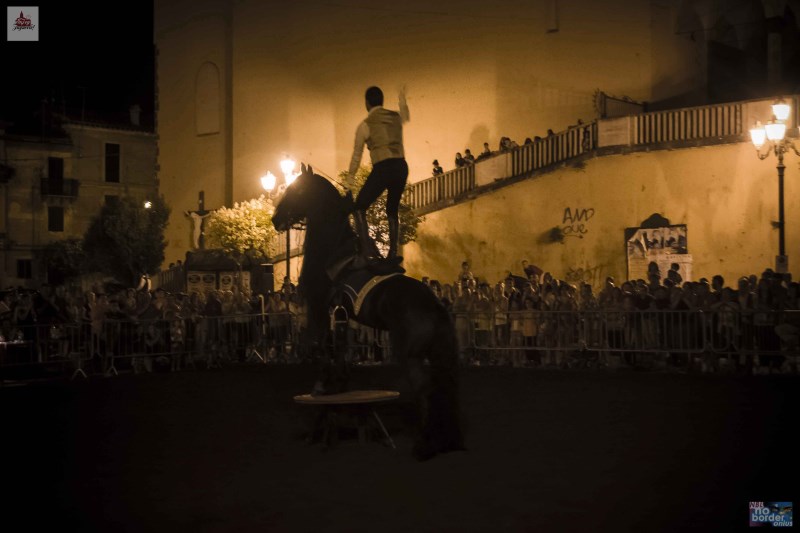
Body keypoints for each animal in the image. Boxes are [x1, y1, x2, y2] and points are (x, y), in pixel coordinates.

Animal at [274, 164, 466, 460]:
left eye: (296, 189)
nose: (275, 219)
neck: (333, 249)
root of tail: (434, 306)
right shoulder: (336, 313)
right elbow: (335, 346)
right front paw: (338, 383)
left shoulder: (317, 304)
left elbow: (318, 344)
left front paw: (322, 385)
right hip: (434, 354)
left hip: (410, 355)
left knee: (425, 390)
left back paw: (424, 445)